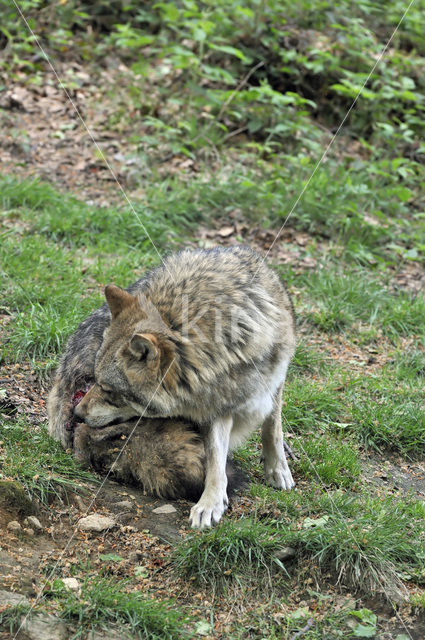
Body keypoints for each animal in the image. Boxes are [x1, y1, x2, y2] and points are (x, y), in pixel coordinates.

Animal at [72, 248, 294, 528]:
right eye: (96, 380)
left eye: (109, 390)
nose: (77, 413)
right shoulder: (217, 405)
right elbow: (215, 461)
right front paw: (211, 503)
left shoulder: (275, 380)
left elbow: (272, 428)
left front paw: (277, 469)